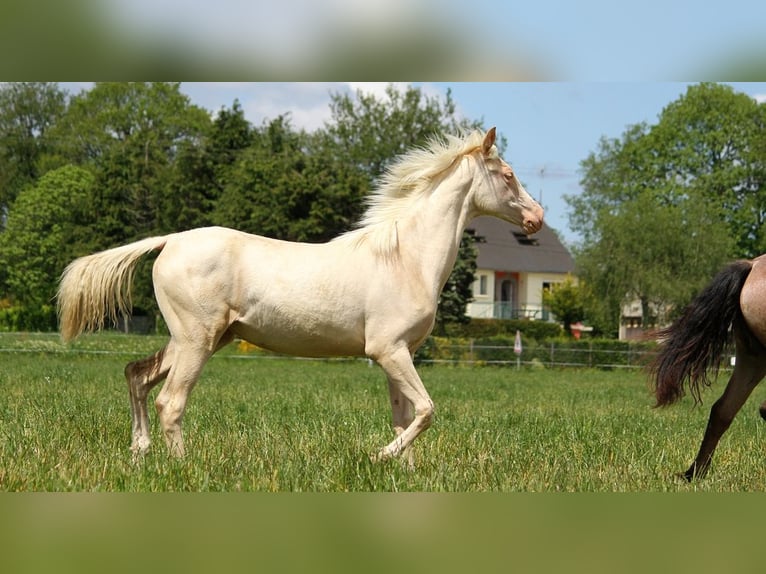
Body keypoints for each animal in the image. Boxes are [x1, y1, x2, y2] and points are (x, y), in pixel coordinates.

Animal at [58, 127, 544, 464]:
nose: (537, 219)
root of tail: (170, 241)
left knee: (137, 376)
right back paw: (184, 466)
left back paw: (139, 452)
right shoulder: (388, 350)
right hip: (196, 340)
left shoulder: (399, 353)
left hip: (197, 339)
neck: (405, 258)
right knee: (170, 402)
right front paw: (378, 457)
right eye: (508, 175)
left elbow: (405, 417)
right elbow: (426, 410)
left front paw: (402, 471)